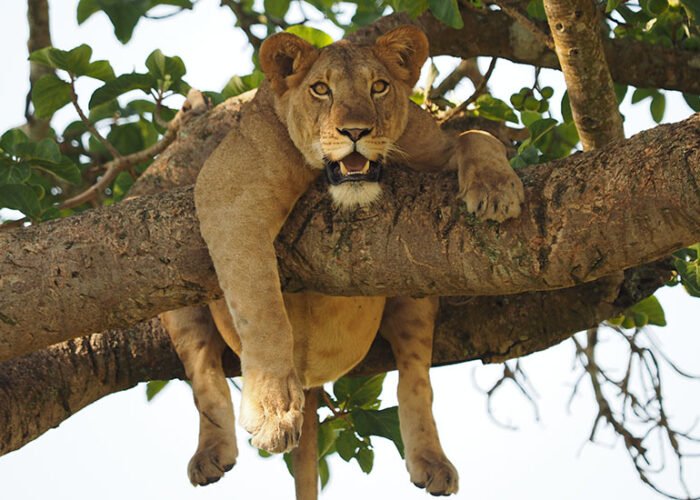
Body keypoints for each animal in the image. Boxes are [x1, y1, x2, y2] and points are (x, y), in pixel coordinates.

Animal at [161, 24, 524, 496]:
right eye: (321, 89)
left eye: (379, 86)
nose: (356, 131)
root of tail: (312, 382)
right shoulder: (227, 195)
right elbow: (263, 311)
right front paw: (274, 413)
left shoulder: (429, 145)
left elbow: (475, 137)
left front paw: (497, 189)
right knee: (203, 373)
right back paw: (210, 454)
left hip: (417, 289)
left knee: (416, 377)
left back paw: (432, 462)